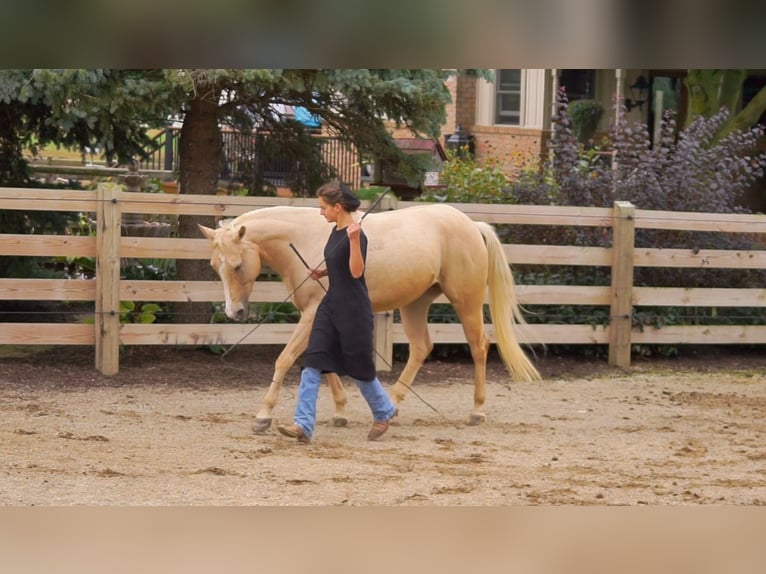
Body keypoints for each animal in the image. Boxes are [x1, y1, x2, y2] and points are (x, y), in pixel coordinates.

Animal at [199, 203, 541, 433]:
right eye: (215, 266)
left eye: (237, 265)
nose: (234, 312)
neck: (306, 239)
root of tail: (471, 224)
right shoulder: (321, 316)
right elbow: (321, 362)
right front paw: (340, 412)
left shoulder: (311, 313)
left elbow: (285, 359)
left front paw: (263, 416)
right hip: (415, 304)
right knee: (421, 348)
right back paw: (392, 406)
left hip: (465, 302)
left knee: (479, 346)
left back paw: (477, 411)